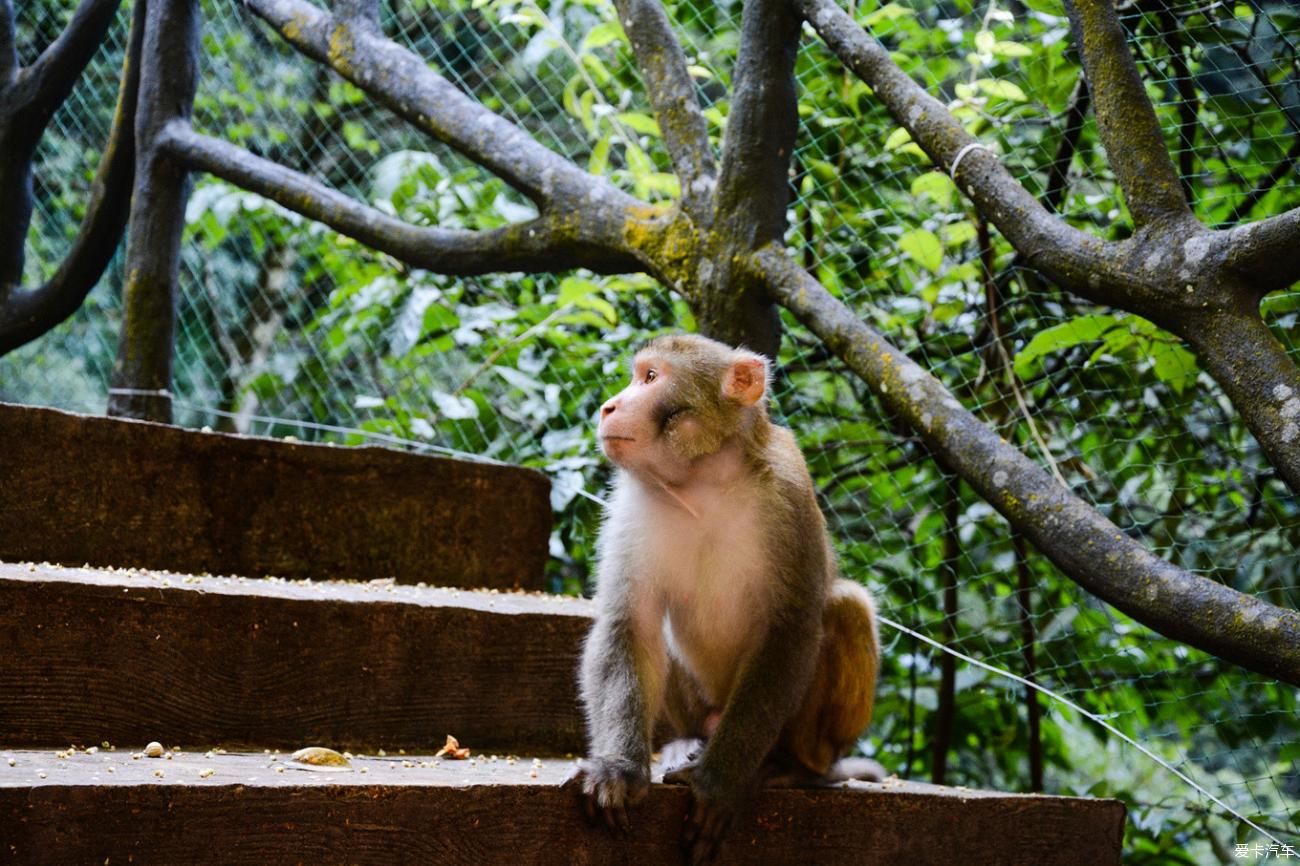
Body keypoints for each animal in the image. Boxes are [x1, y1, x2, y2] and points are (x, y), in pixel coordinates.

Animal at [569, 332, 883, 858]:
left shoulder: (789, 493)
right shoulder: (630, 504)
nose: (608, 406)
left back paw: (795, 766)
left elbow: (790, 630)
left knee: (845, 607)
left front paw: (719, 783)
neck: (703, 481)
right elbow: (629, 622)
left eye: (650, 377)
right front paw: (619, 769)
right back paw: (687, 741)